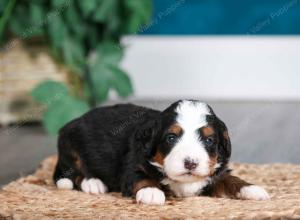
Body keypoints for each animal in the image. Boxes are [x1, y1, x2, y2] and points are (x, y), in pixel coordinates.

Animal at [52, 99, 270, 205]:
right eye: (171, 138)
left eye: (209, 140)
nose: (190, 163)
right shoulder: (132, 165)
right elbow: (141, 177)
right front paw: (151, 192)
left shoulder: (214, 173)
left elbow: (230, 179)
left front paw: (252, 189)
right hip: (70, 144)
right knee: (75, 172)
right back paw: (93, 183)